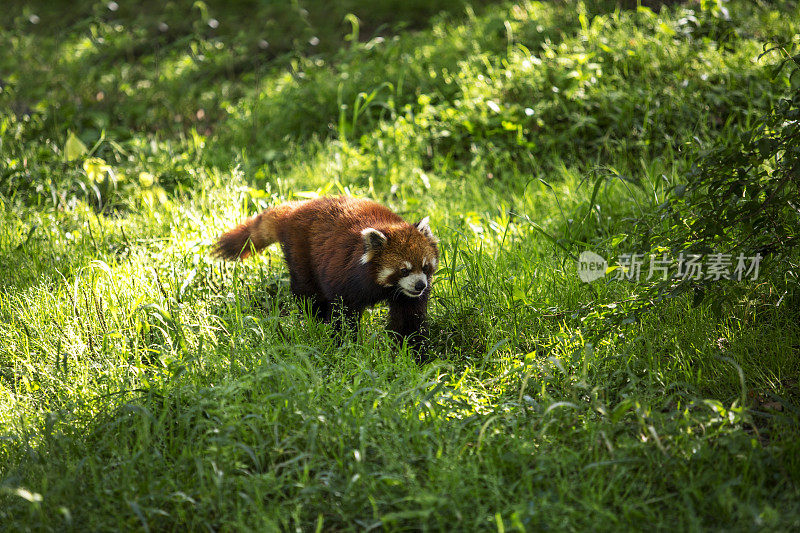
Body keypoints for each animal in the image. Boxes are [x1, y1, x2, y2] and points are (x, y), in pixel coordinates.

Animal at [214, 195, 438, 358]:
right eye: (404, 270)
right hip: (302, 252)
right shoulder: (345, 277)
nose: (420, 285)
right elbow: (343, 315)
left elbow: (409, 321)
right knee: (307, 293)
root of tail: (296, 208)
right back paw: (317, 318)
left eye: (425, 267)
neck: (383, 286)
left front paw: (413, 353)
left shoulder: (406, 297)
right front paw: (345, 345)